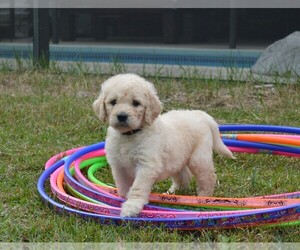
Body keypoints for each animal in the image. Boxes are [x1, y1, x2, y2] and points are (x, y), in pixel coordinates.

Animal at [92, 73, 233, 217]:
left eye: (136, 103)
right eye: (113, 102)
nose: (121, 116)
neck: (129, 135)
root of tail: (199, 114)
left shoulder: (146, 165)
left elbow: (137, 187)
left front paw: (132, 206)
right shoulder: (118, 165)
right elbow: (123, 186)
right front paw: (123, 199)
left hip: (198, 158)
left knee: (208, 177)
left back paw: (203, 197)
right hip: (176, 159)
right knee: (184, 176)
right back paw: (172, 192)